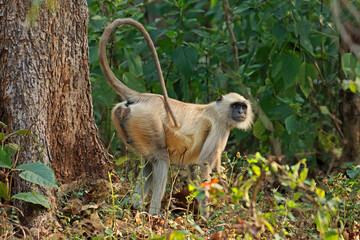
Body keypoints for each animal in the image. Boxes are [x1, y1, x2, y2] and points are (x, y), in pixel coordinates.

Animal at [97, 18, 252, 218]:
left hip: (129, 121)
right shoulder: (220, 126)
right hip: (147, 120)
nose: (241, 113)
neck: (216, 109)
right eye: (235, 106)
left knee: (149, 162)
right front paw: (206, 217)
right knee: (161, 159)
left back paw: (135, 207)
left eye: (243, 106)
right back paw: (154, 214)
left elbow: (194, 168)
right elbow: (202, 166)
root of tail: (144, 97)